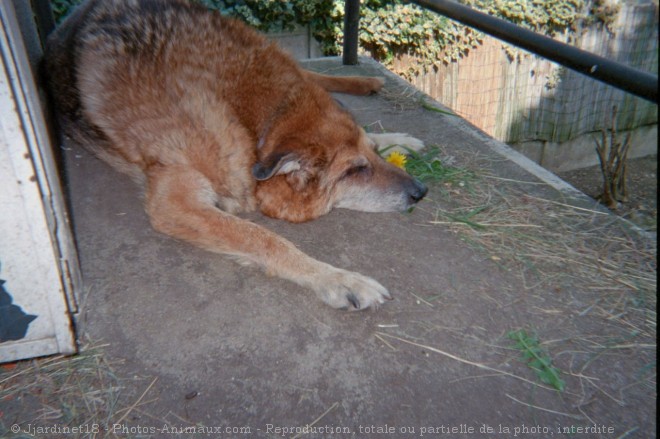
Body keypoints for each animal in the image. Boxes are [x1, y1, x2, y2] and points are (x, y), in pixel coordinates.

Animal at [46, 0, 428, 312]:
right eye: (355, 171)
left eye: (370, 158)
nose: (421, 192)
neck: (251, 120)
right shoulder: (174, 202)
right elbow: (265, 239)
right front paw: (338, 278)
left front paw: (391, 140)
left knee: (313, 74)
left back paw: (368, 86)